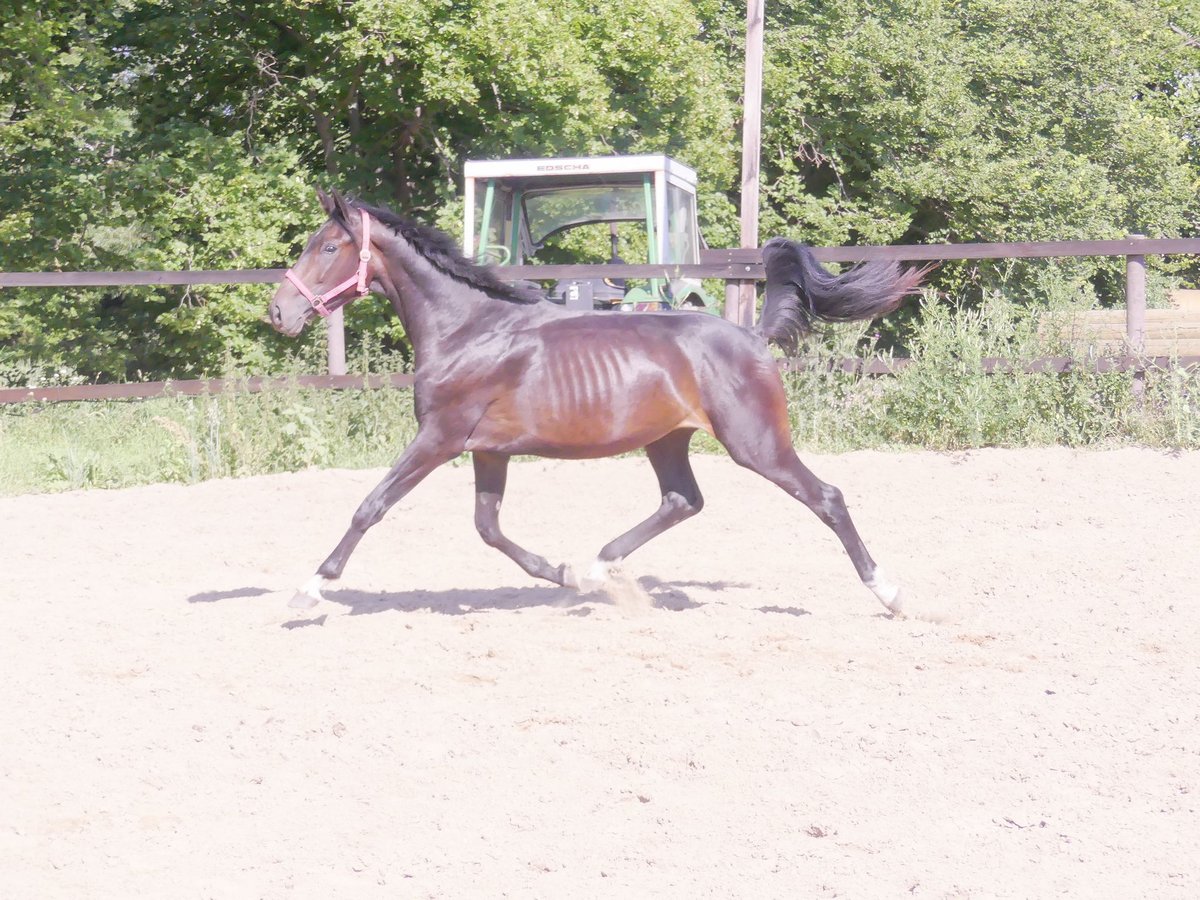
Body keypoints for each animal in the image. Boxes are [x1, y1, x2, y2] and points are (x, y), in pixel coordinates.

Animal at [270, 188, 926, 614]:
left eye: (327, 248)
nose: (279, 312)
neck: (468, 330)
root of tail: (751, 337)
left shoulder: (439, 438)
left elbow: (371, 506)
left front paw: (312, 587)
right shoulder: (488, 450)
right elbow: (488, 527)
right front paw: (560, 574)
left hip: (756, 443)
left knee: (826, 498)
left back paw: (892, 594)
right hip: (667, 440)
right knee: (683, 500)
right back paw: (596, 568)